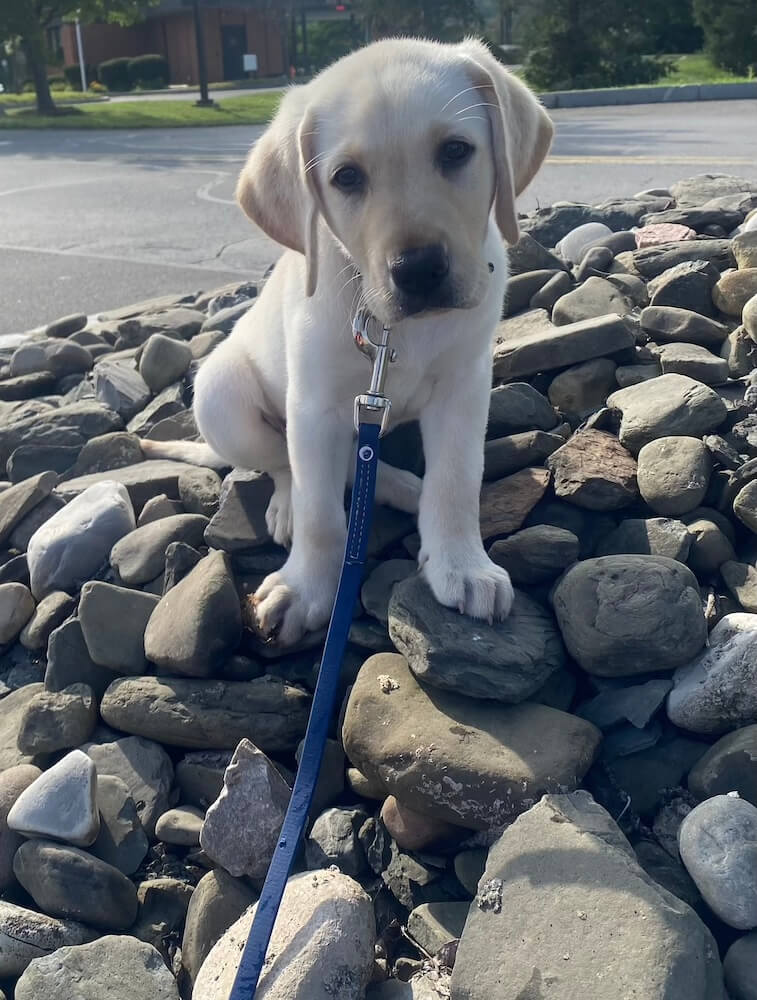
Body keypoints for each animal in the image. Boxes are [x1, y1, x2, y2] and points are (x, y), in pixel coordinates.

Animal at [145, 37, 552, 640]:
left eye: (456, 151)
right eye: (346, 178)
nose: (419, 270)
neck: (393, 328)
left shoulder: (465, 385)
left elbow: (457, 480)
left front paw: (461, 564)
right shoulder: (315, 407)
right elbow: (321, 513)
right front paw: (307, 586)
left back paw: (406, 487)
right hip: (221, 397)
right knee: (288, 465)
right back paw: (294, 505)